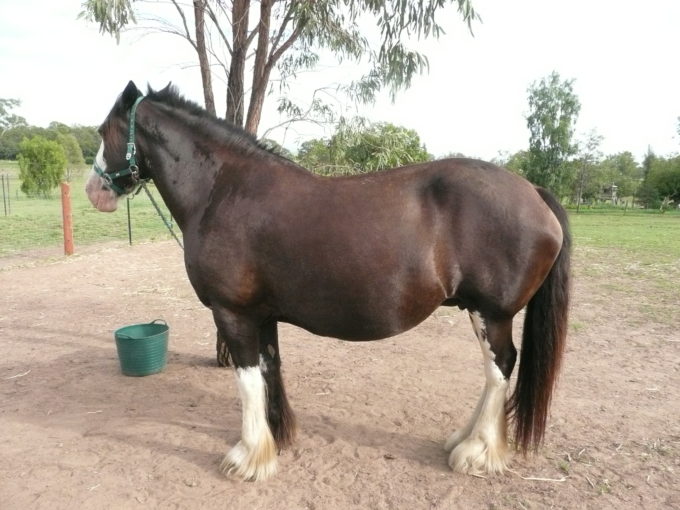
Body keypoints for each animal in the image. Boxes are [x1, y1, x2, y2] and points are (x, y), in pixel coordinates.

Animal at [86, 81, 571, 481]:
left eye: (103, 130)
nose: (94, 190)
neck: (224, 189)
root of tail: (533, 192)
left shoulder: (233, 314)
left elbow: (247, 380)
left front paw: (248, 457)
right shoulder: (261, 315)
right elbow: (269, 369)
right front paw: (277, 439)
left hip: (491, 313)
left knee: (499, 367)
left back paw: (478, 451)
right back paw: (463, 439)